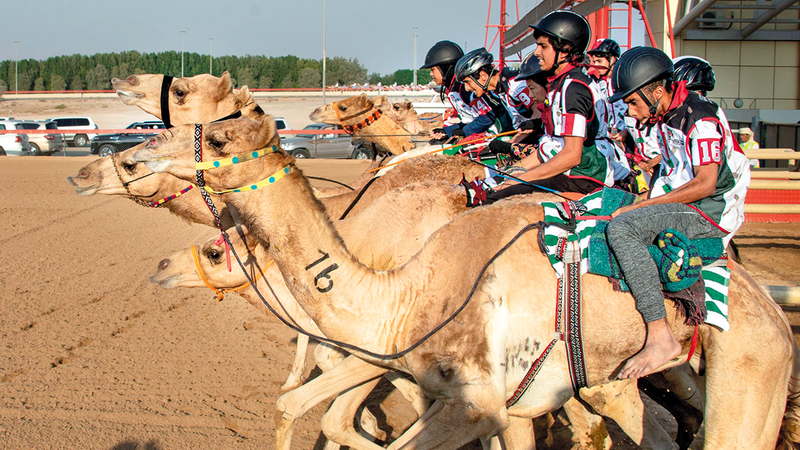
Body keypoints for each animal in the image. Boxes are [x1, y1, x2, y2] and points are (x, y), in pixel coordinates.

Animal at [130, 114, 800, 448]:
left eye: (217, 136)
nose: (132, 155)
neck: (399, 293)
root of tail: (769, 308)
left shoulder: (480, 402)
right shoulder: (492, 402)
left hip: (750, 369)